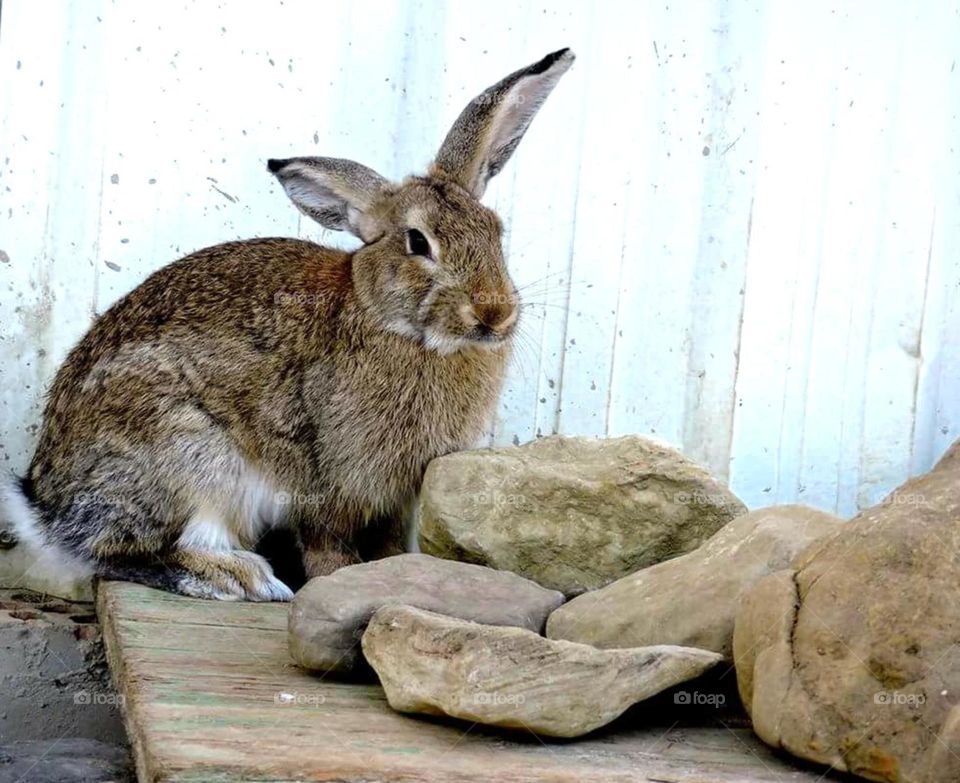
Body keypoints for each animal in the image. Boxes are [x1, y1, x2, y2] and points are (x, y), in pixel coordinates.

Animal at [0, 48, 575, 600]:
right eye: (418, 242)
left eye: (496, 231)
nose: (495, 312)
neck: (396, 324)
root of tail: (46, 507)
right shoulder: (326, 473)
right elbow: (325, 541)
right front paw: (339, 578)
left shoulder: (397, 496)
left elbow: (389, 542)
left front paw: (391, 570)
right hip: (191, 456)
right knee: (129, 551)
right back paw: (239, 578)